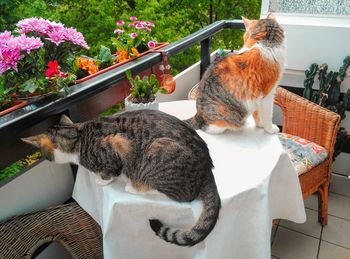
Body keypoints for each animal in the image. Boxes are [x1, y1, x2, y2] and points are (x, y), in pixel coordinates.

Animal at [21, 110, 220, 248]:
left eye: (42, 153)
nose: (45, 159)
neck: (77, 137)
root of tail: (208, 170)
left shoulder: (118, 144)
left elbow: (110, 172)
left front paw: (102, 179)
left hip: (158, 151)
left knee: (182, 196)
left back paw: (136, 187)